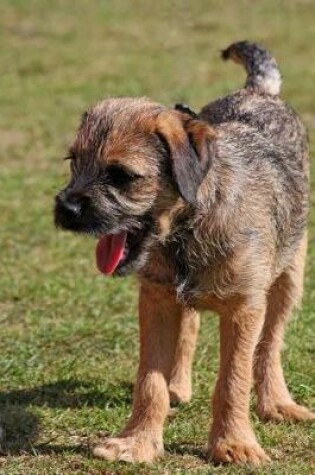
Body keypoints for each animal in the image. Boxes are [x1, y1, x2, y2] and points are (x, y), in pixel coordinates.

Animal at [54, 42, 314, 466]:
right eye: (74, 161)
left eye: (122, 176)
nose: (66, 208)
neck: (190, 228)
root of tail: (258, 92)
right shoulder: (156, 299)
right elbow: (149, 380)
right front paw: (137, 442)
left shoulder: (245, 308)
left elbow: (233, 380)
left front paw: (233, 443)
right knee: (189, 328)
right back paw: (178, 385)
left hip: (290, 275)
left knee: (270, 344)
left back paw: (277, 403)